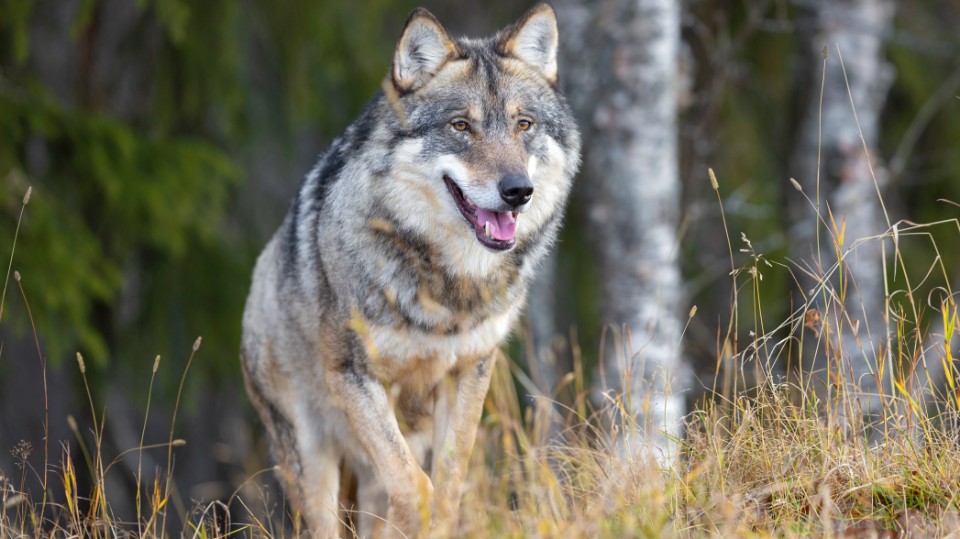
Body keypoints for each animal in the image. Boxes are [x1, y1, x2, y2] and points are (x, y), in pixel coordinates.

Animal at [241, 3, 580, 537]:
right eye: (461, 126)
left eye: (524, 124)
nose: (517, 191)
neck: (448, 288)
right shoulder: (354, 376)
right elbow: (416, 485)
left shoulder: (469, 372)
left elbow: (448, 484)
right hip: (313, 464)